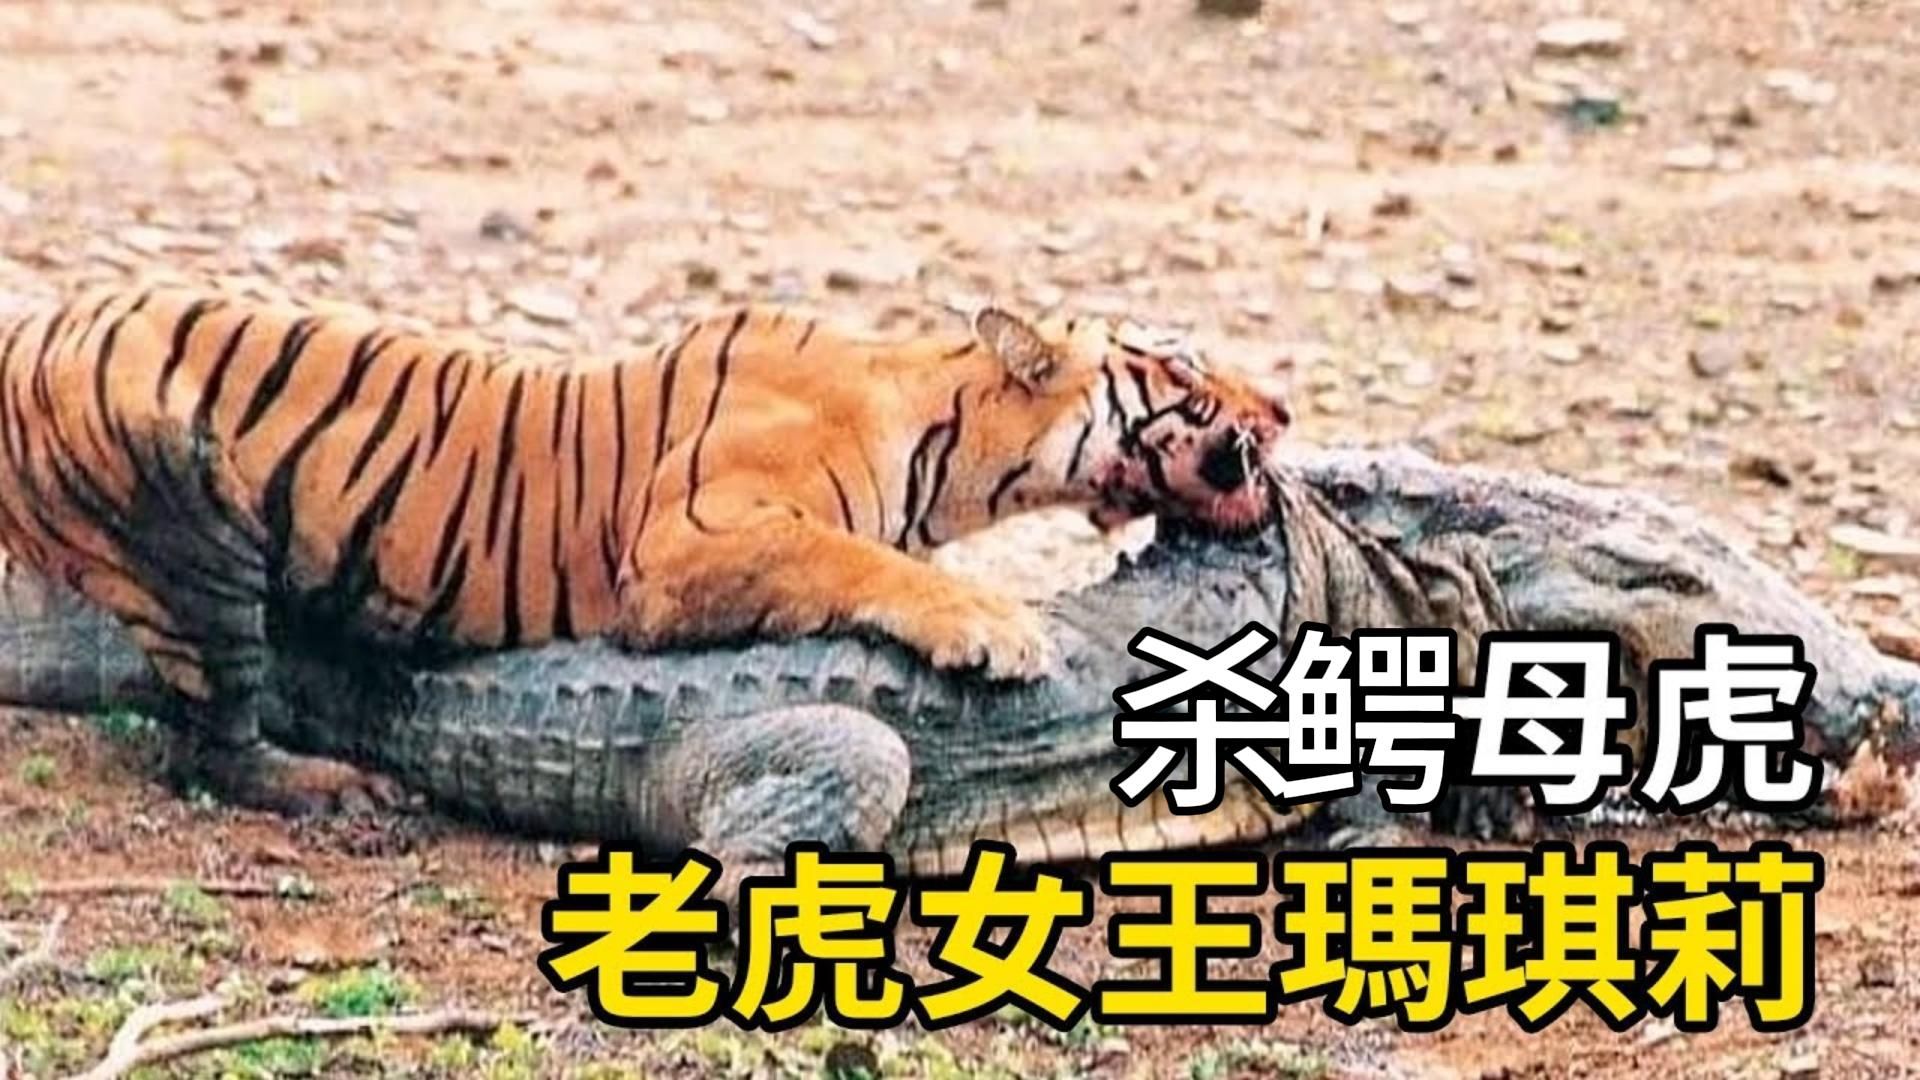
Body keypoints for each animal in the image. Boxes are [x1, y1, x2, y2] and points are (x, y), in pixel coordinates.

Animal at [0, 286, 1291, 812]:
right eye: (1182, 368)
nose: (1280, 410)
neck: (948, 441)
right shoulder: (685, 543)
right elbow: (862, 563)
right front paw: (995, 629)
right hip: (187, 521)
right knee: (209, 742)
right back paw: (339, 792)